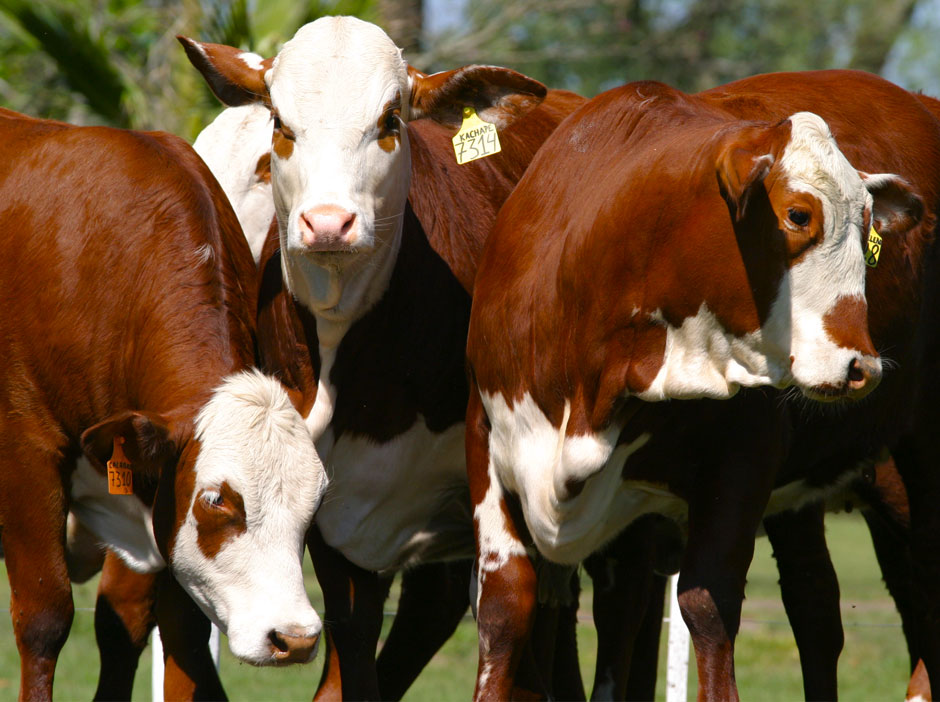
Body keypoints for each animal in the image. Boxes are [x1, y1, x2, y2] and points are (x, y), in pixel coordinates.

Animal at [0, 107, 330, 700]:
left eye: (315, 504)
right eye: (217, 500)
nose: (294, 638)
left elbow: (175, 636)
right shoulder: (25, 456)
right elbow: (44, 619)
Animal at [179, 13, 584, 700]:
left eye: (391, 120)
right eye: (281, 123)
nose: (327, 223)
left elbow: (506, 607)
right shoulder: (331, 508)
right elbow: (352, 636)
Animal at [466, 74, 920, 700]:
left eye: (867, 227)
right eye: (799, 215)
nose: (862, 367)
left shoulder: (742, 458)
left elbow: (706, 605)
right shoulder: (484, 436)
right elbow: (507, 605)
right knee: (816, 609)